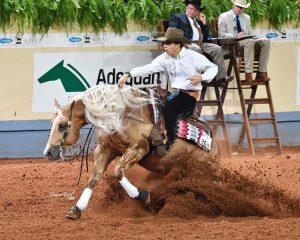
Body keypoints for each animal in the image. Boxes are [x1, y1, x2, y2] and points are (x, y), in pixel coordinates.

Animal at [43, 84, 219, 219]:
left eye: (62, 126)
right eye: (52, 123)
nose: (49, 153)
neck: (120, 115)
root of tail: (214, 147)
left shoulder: (138, 149)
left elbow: (118, 171)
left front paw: (142, 196)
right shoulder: (105, 150)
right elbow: (94, 179)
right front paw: (76, 210)